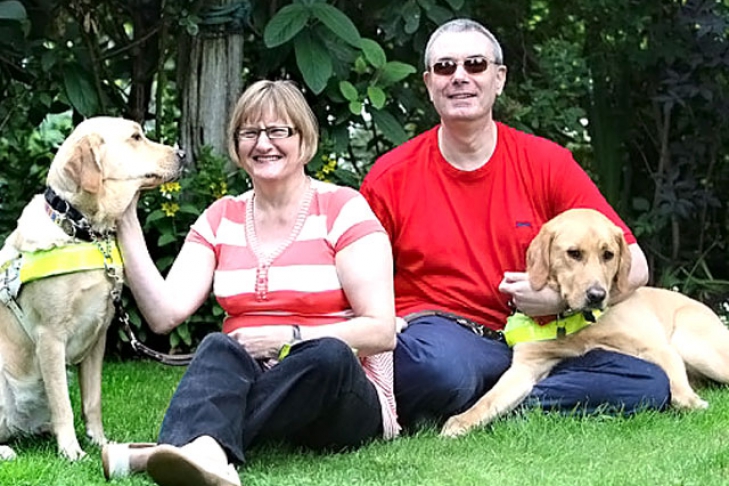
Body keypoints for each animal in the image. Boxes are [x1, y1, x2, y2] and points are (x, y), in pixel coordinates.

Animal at [0, 117, 184, 460]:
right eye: (136, 137)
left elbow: (92, 400)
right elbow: (63, 403)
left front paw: (99, 441)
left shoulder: (98, 335)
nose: (181, 153)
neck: (84, 232)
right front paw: (71, 450)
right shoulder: (50, 337)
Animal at [441, 208, 729, 437]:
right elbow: (488, 400)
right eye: (574, 253)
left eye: (608, 254)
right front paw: (460, 422)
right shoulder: (524, 368)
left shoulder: (659, 348)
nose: (597, 295)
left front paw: (692, 402)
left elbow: (679, 391)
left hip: (692, 344)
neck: (577, 324)